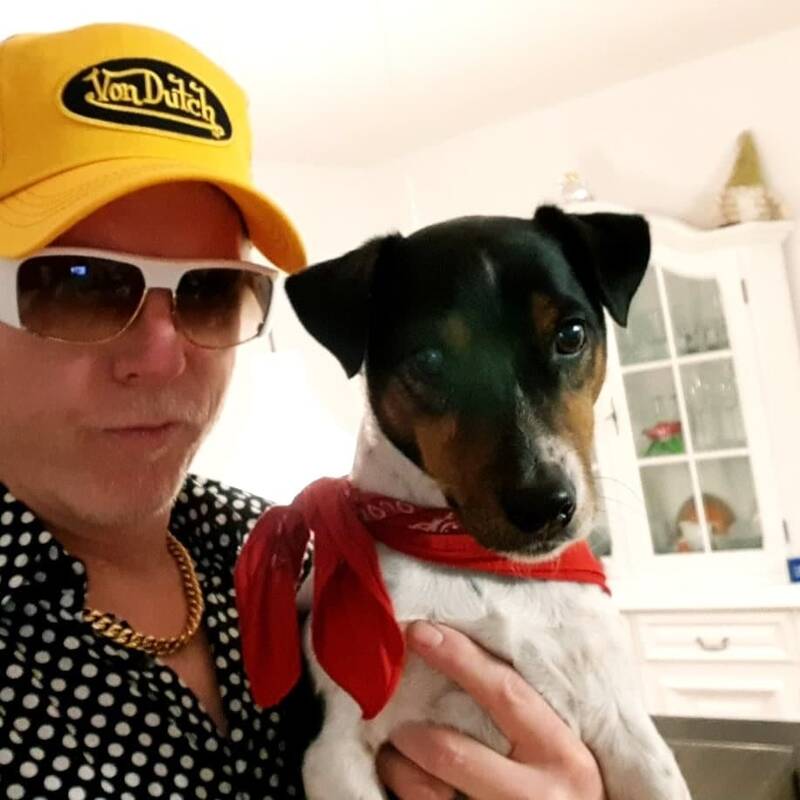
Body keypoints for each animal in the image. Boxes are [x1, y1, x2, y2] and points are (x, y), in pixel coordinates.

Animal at [235, 206, 691, 800]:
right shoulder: (333, 752)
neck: (474, 561)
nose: (543, 504)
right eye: (429, 360)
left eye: (571, 334)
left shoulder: (627, 730)